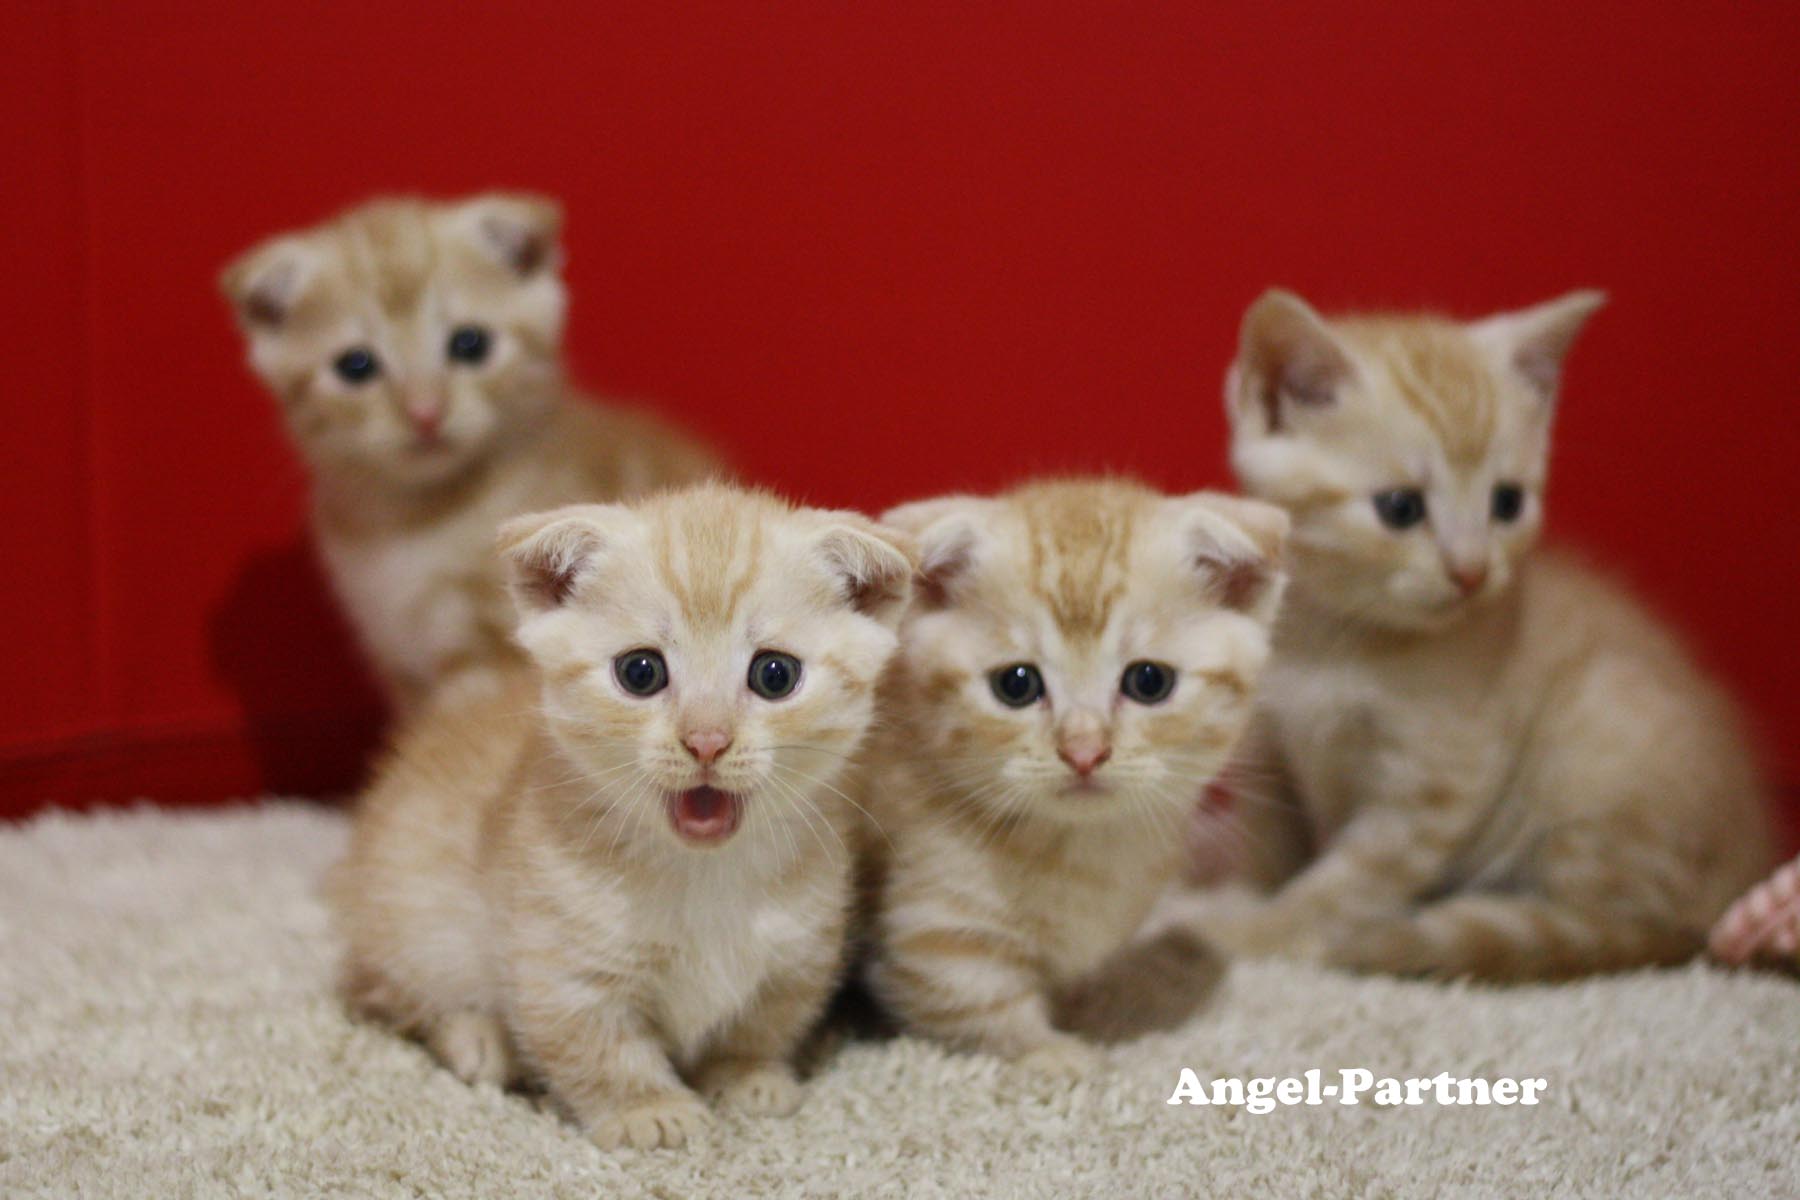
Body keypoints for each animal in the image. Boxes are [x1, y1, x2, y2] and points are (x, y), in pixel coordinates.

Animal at [226, 192, 723, 708]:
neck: (413, 520)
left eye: (470, 343)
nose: (425, 413)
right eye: (356, 365)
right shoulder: (398, 661)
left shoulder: (497, 651)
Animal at [327, 482, 914, 1151]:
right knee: (388, 997)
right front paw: (647, 1110)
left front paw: (746, 1076)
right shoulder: (561, 960)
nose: (706, 741)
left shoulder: (799, 950)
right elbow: (597, 1046)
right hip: (406, 915)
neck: (705, 873)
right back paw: (480, 1039)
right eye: (641, 671)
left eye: (774, 674)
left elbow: (762, 1023)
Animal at [864, 474, 1288, 1072]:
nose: (1084, 751)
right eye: (1016, 684)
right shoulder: (935, 923)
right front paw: (1055, 1054)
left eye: (1149, 681)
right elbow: (974, 1002)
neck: (1081, 850)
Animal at [1166, 286, 1771, 978]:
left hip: (1604, 743)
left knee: (1618, 927)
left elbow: (1344, 883)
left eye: (1507, 502)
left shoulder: (1434, 785)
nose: (1472, 572)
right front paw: (1245, 893)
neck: (1332, 642)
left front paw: (1251, 931)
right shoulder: (1271, 747)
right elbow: (1271, 844)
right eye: (1400, 507)